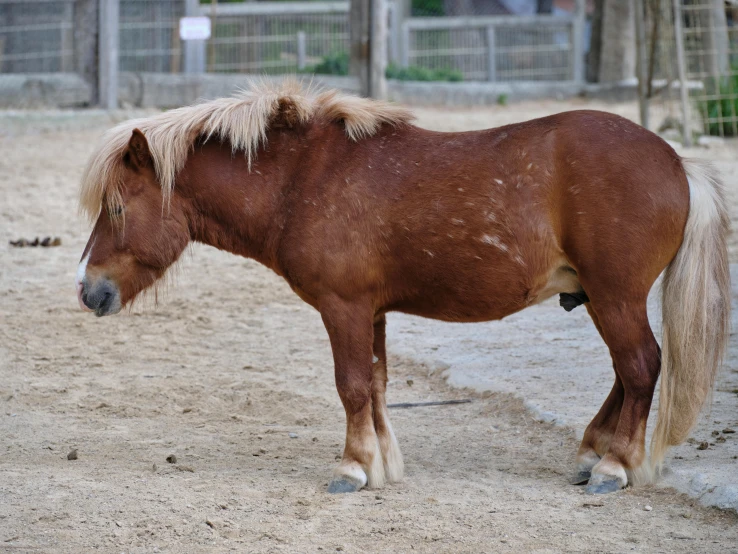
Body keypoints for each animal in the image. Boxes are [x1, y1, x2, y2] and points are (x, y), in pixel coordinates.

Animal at [75, 78, 724, 492]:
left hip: (615, 297)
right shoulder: (373, 311)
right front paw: (384, 464)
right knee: (625, 372)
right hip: (599, 298)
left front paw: (353, 468)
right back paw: (594, 453)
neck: (301, 180)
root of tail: (676, 162)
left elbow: (352, 385)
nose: (87, 290)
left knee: (640, 366)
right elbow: (379, 384)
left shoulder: (342, 308)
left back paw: (615, 468)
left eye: (116, 208)